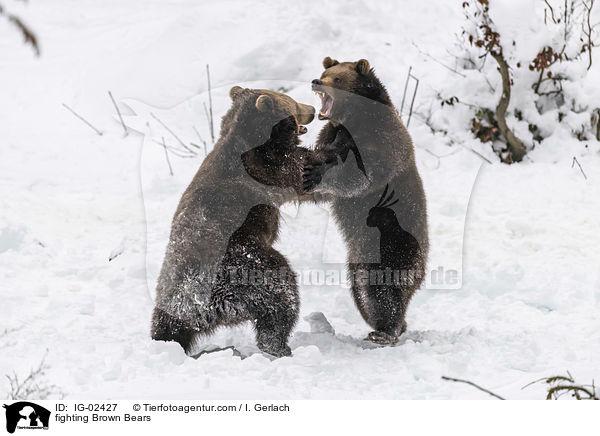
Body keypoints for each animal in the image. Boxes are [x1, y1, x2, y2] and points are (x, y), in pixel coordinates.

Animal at [151, 87, 314, 356]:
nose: (311, 109)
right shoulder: (269, 168)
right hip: (247, 267)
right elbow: (302, 169)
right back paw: (280, 345)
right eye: (293, 103)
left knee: (165, 326)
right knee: (282, 295)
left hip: (169, 297)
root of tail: (200, 307)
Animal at [302, 57, 428, 344]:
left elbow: (359, 175)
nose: (316, 81)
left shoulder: (381, 139)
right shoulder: (330, 134)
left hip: (391, 243)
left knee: (383, 288)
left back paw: (385, 331)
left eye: (337, 78)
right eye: (325, 72)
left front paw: (315, 173)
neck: (352, 121)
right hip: (357, 261)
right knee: (364, 295)